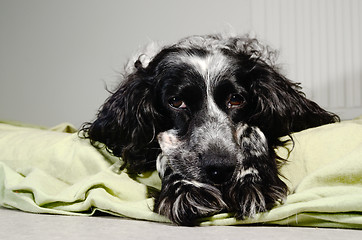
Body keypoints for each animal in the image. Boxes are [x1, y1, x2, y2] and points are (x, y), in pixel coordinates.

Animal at [82, 33, 340, 225]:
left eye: (236, 99)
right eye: (176, 101)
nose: (219, 168)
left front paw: (252, 180)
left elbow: (253, 132)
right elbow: (168, 151)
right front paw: (185, 190)